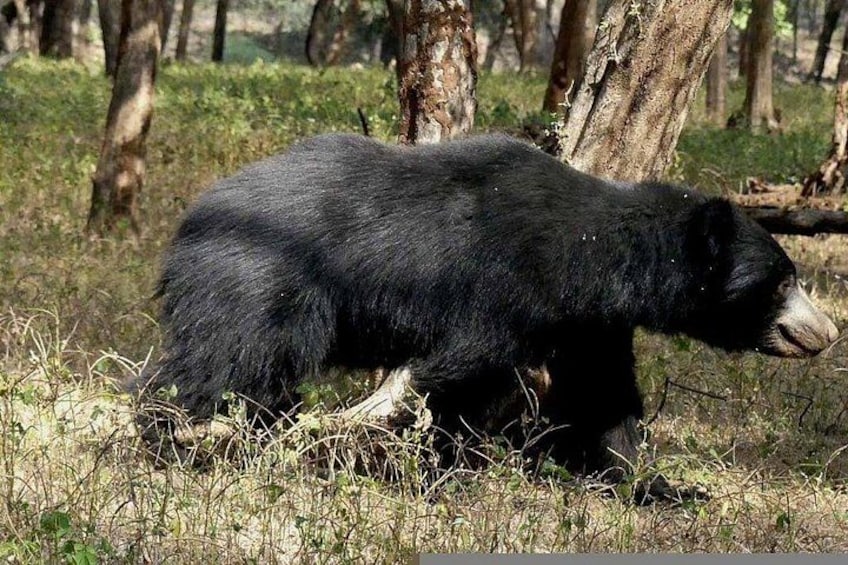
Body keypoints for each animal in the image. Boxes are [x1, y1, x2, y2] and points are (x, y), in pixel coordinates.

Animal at [137, 133, 838, 498]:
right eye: (784, 281)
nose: (827, 332)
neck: (596, 259)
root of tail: (189, 221)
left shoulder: (584, 321)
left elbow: (606, 398)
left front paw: (659, 487)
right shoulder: (502, 292)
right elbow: (466, 375)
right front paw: (443, 475)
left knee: (260, 382)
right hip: (260, 285)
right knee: (215, 362)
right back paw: (163, 443)